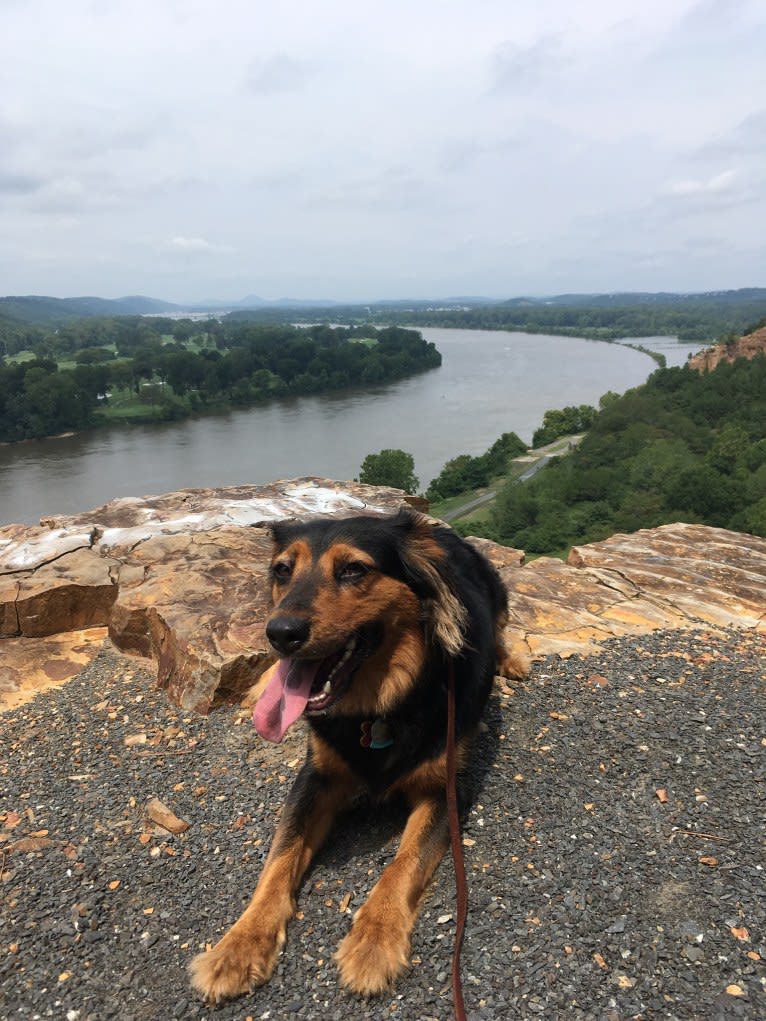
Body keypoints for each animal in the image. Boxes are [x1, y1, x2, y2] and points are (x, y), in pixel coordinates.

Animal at [190, 506, 527, 1000]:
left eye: (353, 570)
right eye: (282, 570)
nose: (280, 634)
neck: (377, 707)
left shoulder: (445, 789)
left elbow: (402, 864)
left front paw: (374, 943)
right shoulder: (316, 778)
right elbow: (279, 858)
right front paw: (239, 945)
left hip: (497, 593)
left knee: (503, 629)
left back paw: (512, 660)